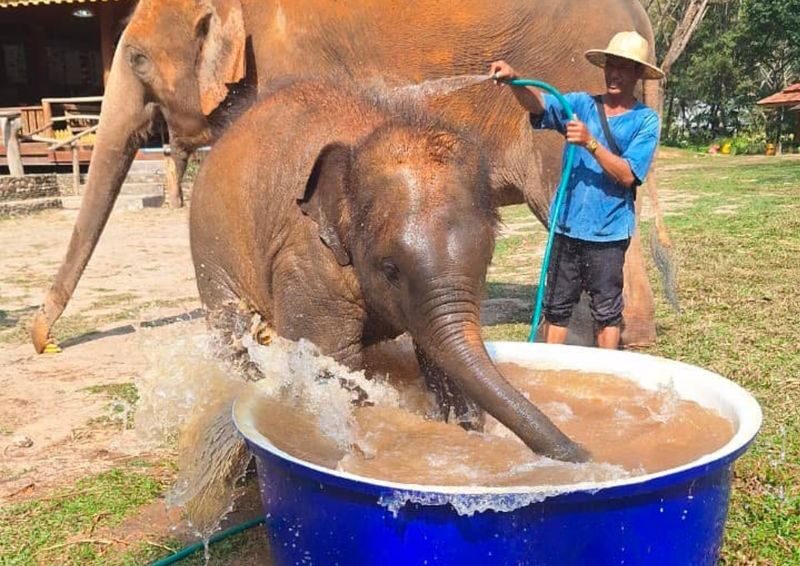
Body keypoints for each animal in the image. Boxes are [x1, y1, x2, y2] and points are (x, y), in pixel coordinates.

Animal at [189, 78, 589, 463]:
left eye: (487, 260)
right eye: (390, 269)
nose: (581, 453)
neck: (368, 133)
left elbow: (439, 356)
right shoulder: (308, 264)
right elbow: (332, 360)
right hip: (211, 252)